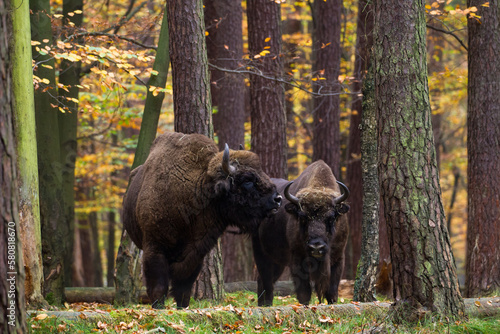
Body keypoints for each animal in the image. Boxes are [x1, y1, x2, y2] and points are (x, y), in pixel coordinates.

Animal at [123, 132, 282, 308]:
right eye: (247, 180)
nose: (277, 199)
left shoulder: (195, 254)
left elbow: (184, 288)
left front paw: (182, 307)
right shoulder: (154, 249)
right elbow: (159, 286)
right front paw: (159, 307)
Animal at [254, 160, 348, 306]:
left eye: (331, 217)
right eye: (303, 217)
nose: (316, 247)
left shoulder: (338, 257)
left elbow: (332, 291)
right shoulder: (297, 258)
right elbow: (304, 292)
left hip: (277, 261)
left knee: (264, 279)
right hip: (261, 252)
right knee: (266, 279)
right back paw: (266, 304)